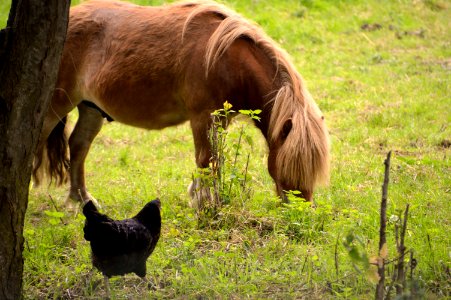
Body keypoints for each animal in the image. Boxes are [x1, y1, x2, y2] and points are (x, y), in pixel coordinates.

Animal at [33, 0, 330, 206]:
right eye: (291, 165)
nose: (300, 211)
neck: (223, 57)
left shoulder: (221, 119)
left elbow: (214, 159)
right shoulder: (202, 117)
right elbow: (206, 159)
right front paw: (205, 202)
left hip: (91, 108)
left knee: (78, 145)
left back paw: (82, 200)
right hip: (55, 106)